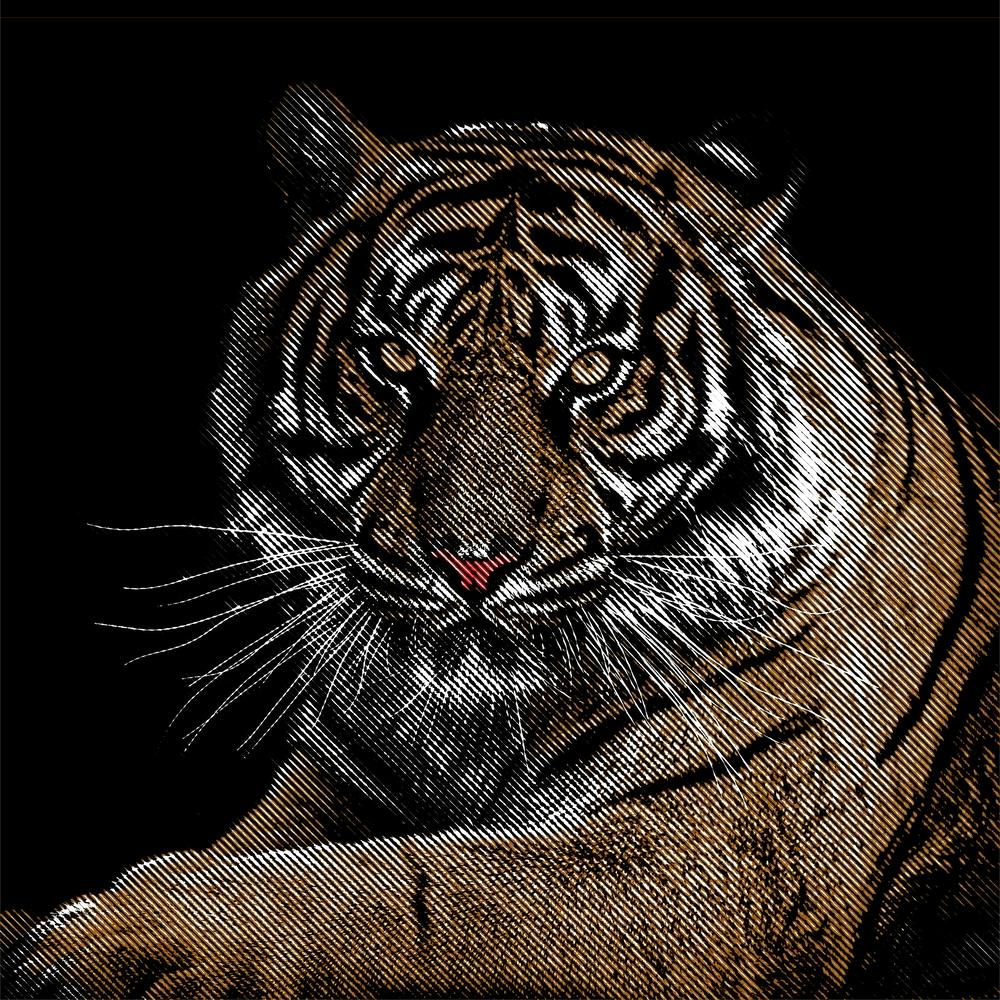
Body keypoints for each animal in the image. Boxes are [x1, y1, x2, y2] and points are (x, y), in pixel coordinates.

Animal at [9, 84, 998, 999]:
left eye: (595, 370)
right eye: (395, 360)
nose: (470, 562)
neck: (468, 724)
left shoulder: (702, 856)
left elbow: (399, 886)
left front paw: (102, 940)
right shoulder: (335, 778)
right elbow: (261, 846)